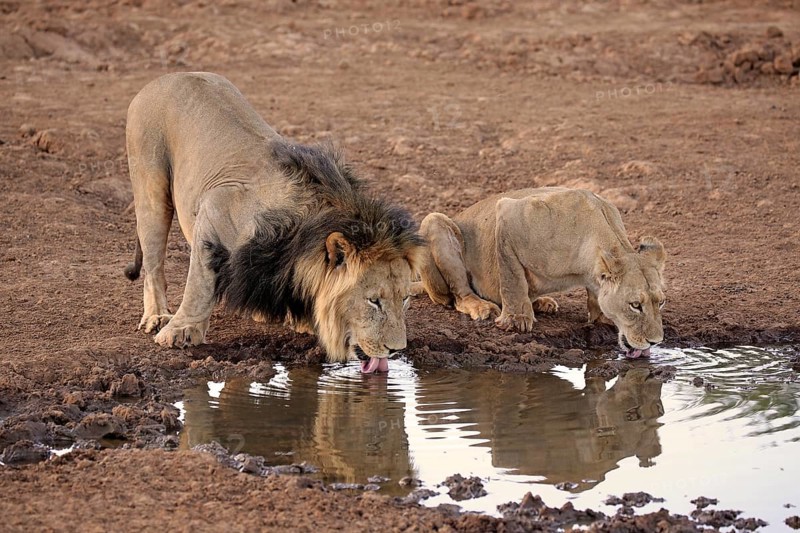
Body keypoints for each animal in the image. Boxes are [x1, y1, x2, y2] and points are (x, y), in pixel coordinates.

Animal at [123, 72, 424, 372]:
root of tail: (167, 77)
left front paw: (301, 320)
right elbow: (199, 285)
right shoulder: (215, 208)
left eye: (405, 298)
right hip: (151, 190)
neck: (302, 231)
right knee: (153, 263)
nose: (396, 350)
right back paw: (157, 316)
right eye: (374, 301)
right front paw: (181, 331)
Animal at [415, 188, 666, 358]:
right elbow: (512, 279)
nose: (656, 342)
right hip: (434, 222)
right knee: (458, 296)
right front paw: (516, 320)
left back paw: (540, 302)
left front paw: (602, 317)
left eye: (661, 302)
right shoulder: (508, 215)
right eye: (635, 305)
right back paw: (481, 306)